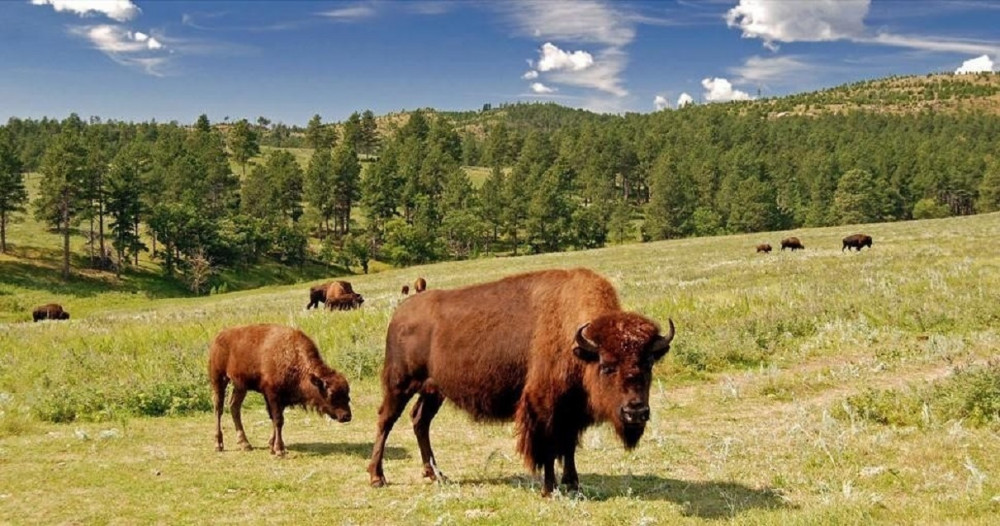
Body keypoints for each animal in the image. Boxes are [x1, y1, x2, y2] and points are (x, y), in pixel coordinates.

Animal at [209, 324, 352, 455]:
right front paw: (279, 450)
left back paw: (245, 444)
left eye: (347, 394)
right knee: (218, 409)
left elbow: (275, 420)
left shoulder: (281, 399)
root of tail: (219, 336)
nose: (346, 416)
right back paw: (218, 445)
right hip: (219, 379)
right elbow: (278, 420)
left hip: (240, 386)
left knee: (234, 407)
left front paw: (272, 445)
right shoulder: (272, 395)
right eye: (331, 394)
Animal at [367, 268, 675, 496]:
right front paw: (549, 489)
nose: (635, 412)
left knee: (420, 420)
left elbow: (568, 446)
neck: (577, 343)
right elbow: (548, 447)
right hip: (400, 384)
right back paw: (377, 477)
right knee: (385, 420)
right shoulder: (543, 407)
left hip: (433, 390)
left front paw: (573, 484)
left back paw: (435, 474)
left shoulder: (571, 410)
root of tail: (400, 312)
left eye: (649, 363)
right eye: (607, 366)